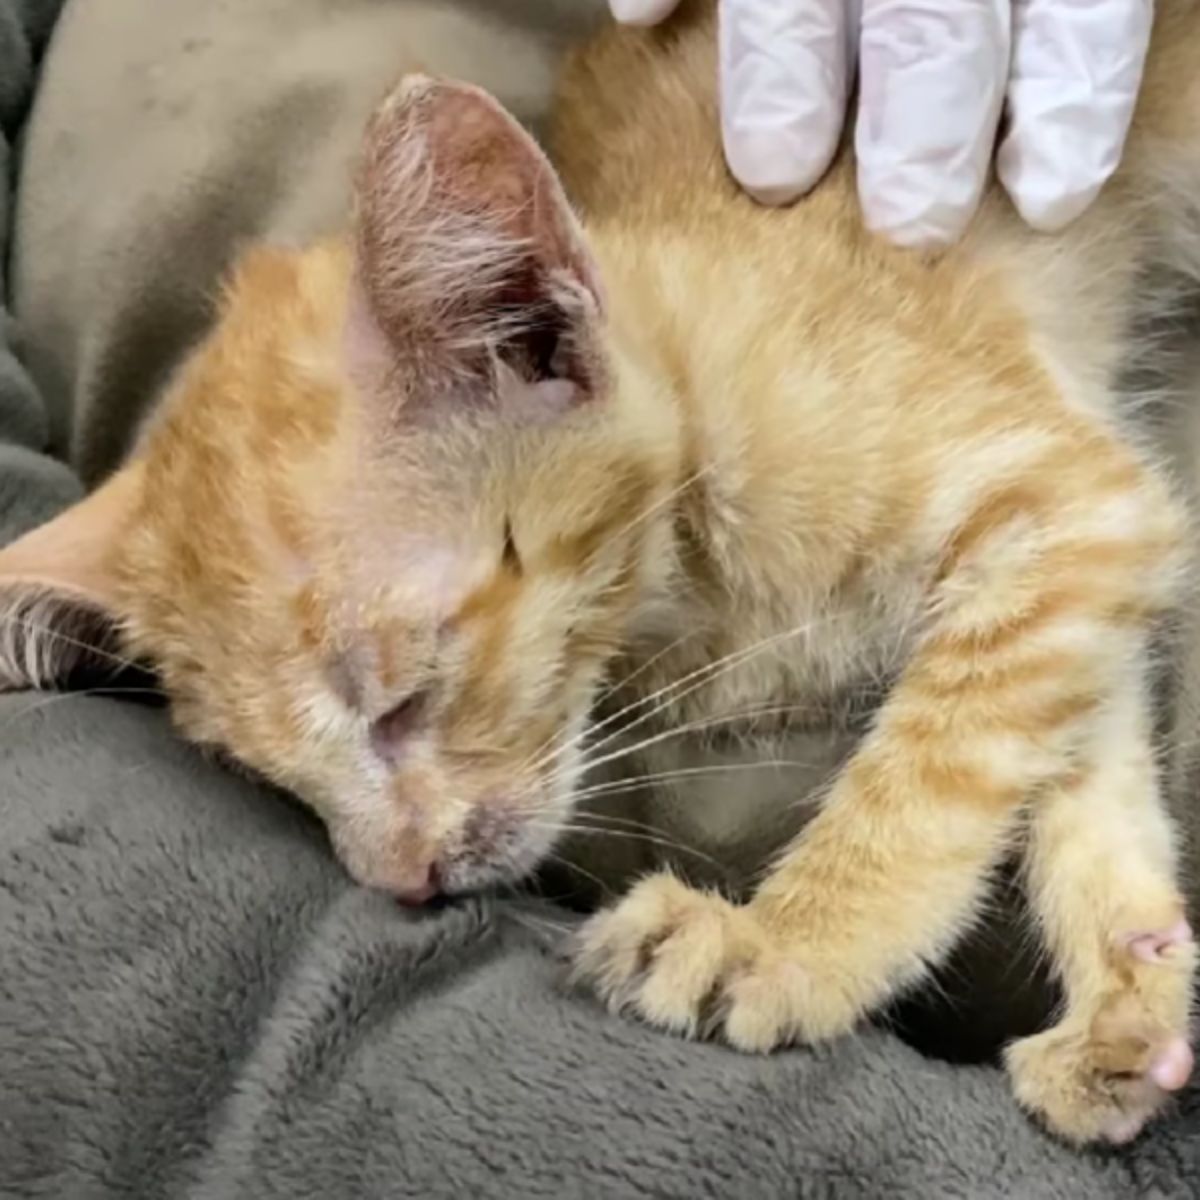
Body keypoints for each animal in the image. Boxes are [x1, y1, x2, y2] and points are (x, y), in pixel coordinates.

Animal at [2, 0, 1200, 1142]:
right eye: (275, 781)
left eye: (404, 699)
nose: (401, 880)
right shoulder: (1081, 553)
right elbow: (1075, 760)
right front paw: (1129, 994)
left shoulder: (1072, 502)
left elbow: (935, 771)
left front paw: (789, 945)